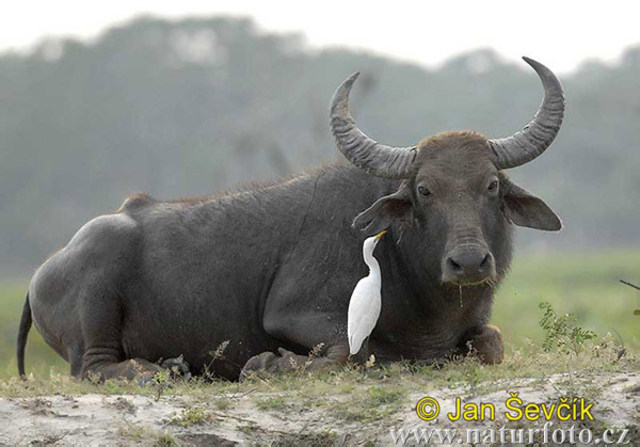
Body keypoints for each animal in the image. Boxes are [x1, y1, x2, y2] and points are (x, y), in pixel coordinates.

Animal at [17, 57, 564, 381]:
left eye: (490, 185)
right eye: (424, 190)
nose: (469, 263)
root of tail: (43, 273)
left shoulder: (478, 326)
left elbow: (491, 343)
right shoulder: (295, 313)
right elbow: (356, 352)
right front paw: (266, 364)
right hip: (97, 298)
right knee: (94, 368)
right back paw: (160, 370)